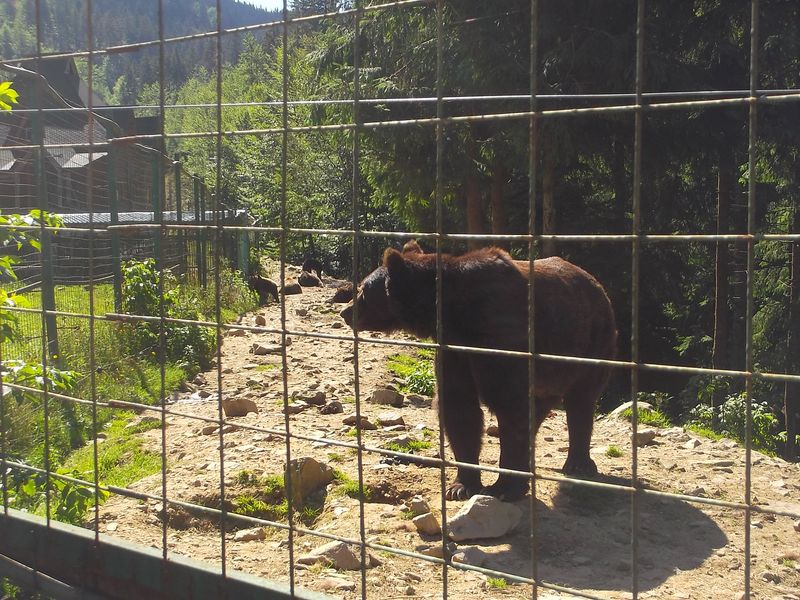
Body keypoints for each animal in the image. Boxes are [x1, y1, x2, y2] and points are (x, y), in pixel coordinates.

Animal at [340, 245, 617, 502]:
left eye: (363, 289)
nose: (345, 312)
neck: (455, 314)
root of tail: (598, 286)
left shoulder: (499, 334)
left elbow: (508, 406)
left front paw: (504, 487)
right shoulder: (454, 350)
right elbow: (460, 408)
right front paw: (461, 486)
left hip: (591, 343)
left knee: (581, 400)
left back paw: (578, 463)